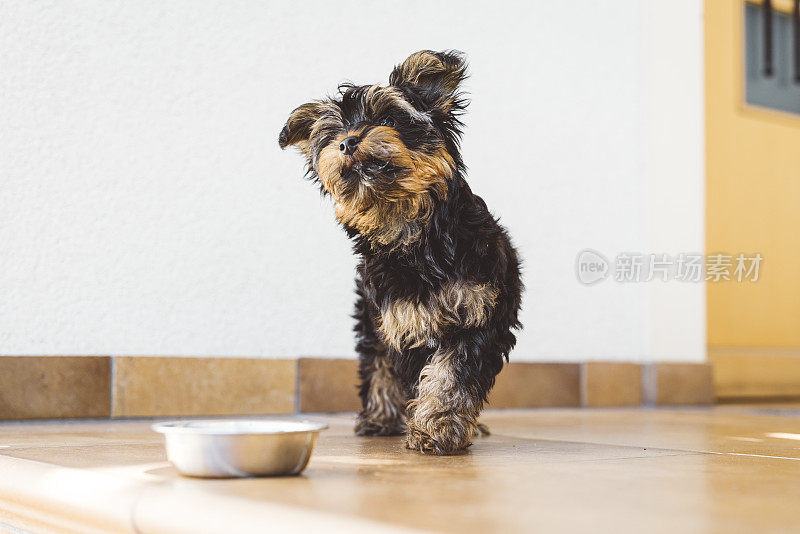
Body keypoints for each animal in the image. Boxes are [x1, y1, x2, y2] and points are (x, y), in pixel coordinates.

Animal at [278, 49, 520, 456]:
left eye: (388, 120)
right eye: (332, 135)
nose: (348, 142)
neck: (408, 229)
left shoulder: (478, 311)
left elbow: (451, 373)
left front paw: (439, 426)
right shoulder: (400, 316)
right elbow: (405, 369)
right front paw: (425, 423)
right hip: (369, 311)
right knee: (376, 359)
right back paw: (379, 418)